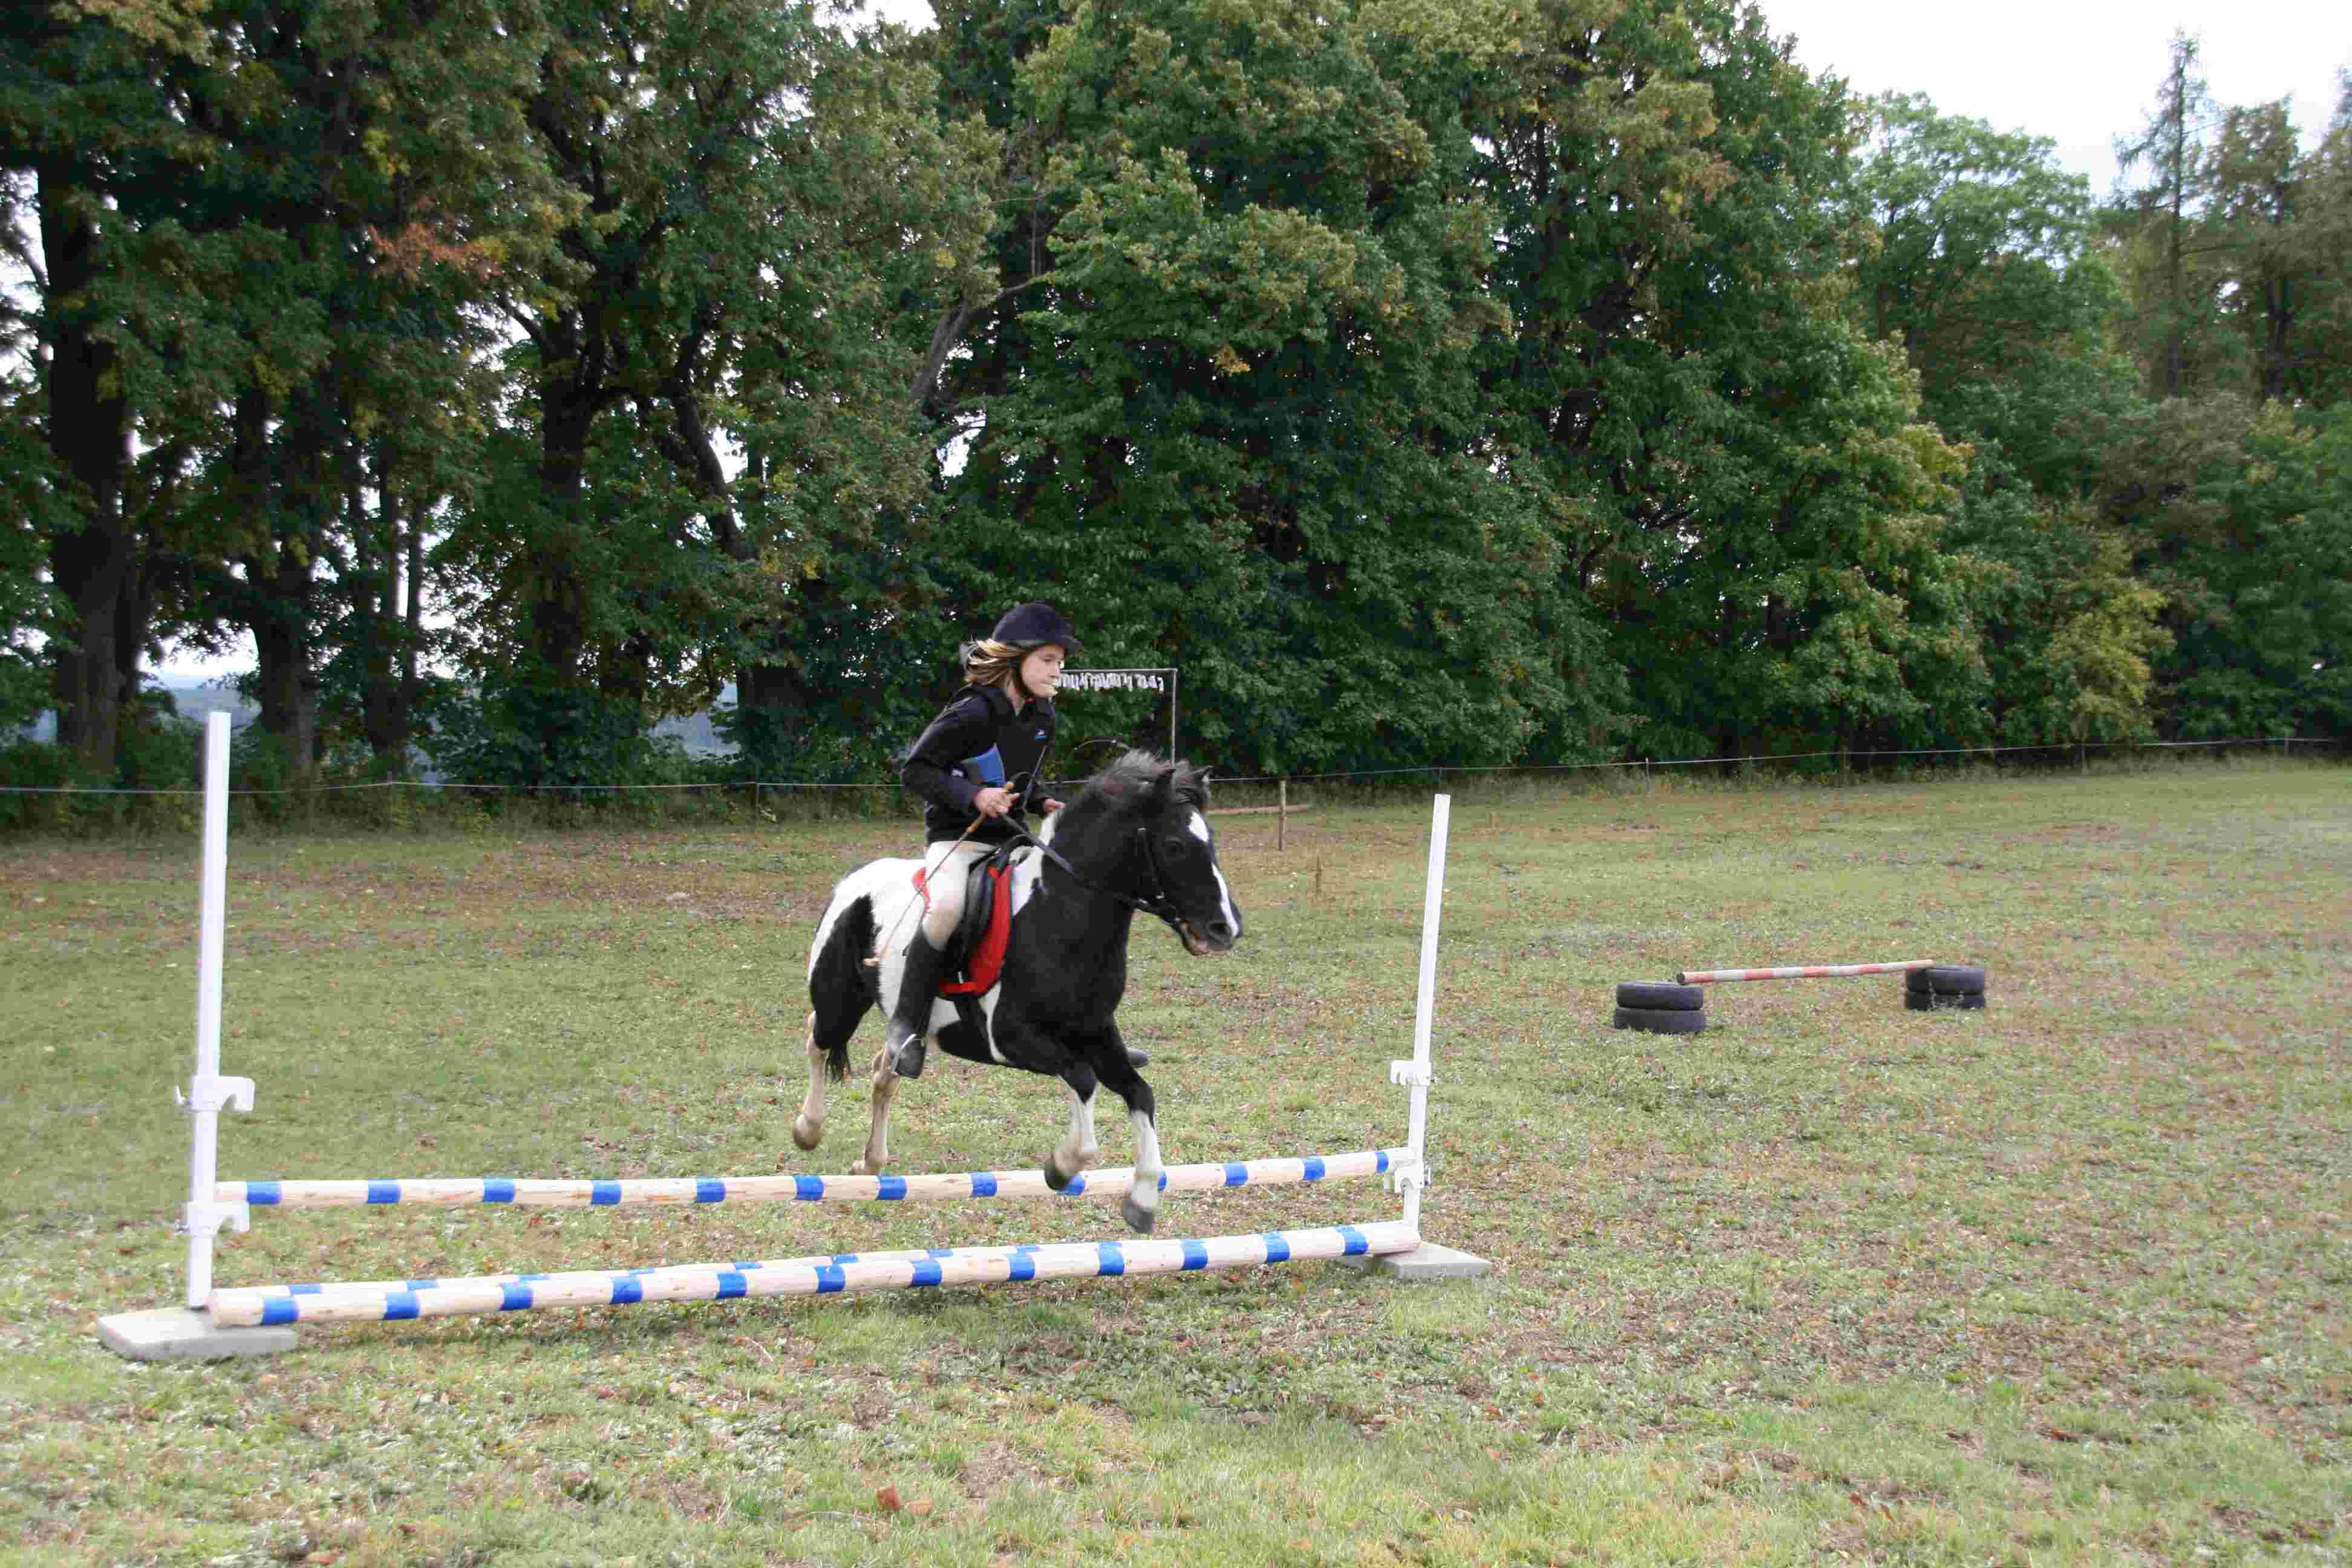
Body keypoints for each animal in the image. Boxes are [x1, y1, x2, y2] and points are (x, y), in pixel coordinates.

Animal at [795, 752, 1241, 1232]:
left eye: (1211, 841)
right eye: (1175, 845)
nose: (1226, 928)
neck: (1058, 917)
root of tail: (851, 881)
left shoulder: (1097, 1033)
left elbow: (1140, 1092)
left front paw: (1141, 1200)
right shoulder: (1010, 1040)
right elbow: (1083, 1080)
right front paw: (1063, 1165)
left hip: (908, 1022)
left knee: (886, 1066)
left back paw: (870, 1160)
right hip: (840, 1003)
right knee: (818, 1039)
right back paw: (808, 1129)